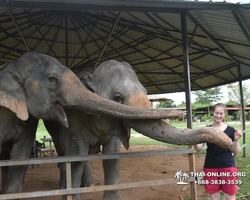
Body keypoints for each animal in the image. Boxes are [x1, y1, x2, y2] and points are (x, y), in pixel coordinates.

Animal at [0, 52, 180, 197]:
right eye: (117, 98)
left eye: (146, 91)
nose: (181, 113)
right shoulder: (74, 120)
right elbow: (76, 154)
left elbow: (112, 154)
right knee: (66, 151)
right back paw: (64, 186)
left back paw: (88, 185)